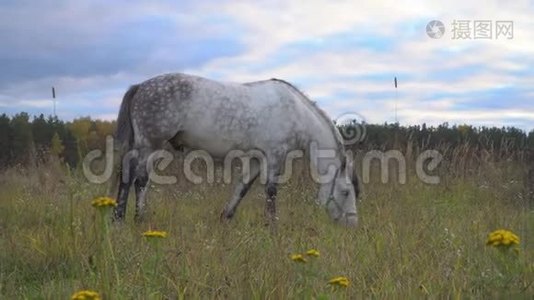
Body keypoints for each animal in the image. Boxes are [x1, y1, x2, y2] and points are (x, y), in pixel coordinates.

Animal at [115, 73, 362, 225]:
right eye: (346, 192)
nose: (352, 224)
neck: (295, 112)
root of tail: (140, 87)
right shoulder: (275, 155)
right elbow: (271, 191)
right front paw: (272, 227)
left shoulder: (256, 158)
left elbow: (242, 188)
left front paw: (225, 218)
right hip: (150, 144)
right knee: (136, 179)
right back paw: (129, 219)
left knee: (135, 178)